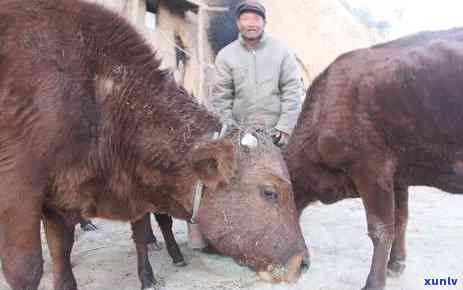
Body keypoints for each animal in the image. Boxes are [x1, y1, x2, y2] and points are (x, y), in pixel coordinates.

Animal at [0, 0, 312, 290]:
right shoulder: (21, 193)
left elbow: (66, 258)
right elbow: (28, 269)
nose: (303, 263)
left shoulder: (63, 200)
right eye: (269, 192)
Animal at [284, 27, 463, 290]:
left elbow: (380, 229)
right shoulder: (399, 178)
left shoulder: (371, 171)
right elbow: (400, 220)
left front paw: (373, 282)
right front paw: (395, 264)